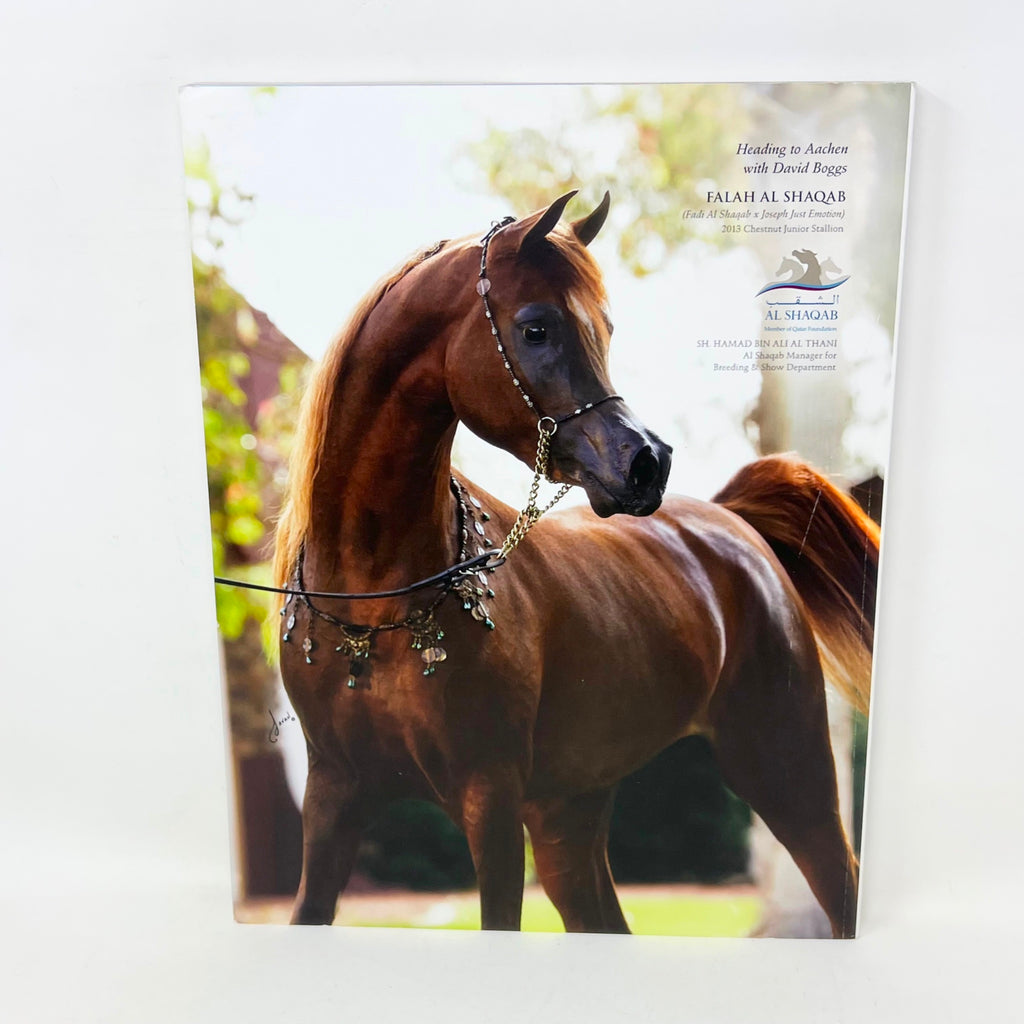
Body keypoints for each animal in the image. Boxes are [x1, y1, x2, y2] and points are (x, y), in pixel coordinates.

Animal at [271, 191, 878, 938]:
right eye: (536, 328)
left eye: (605, 328)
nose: (646, 462)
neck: (375, 604)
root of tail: (732, 522)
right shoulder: (331, 798)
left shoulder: (490, 803)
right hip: (571, 814)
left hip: (789, 773)